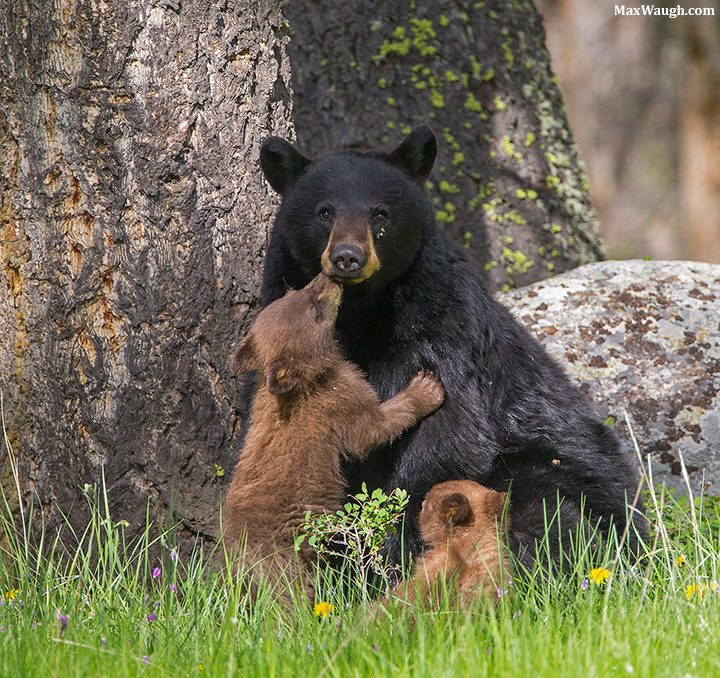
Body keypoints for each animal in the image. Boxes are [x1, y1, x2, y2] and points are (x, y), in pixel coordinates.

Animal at [223, 272, 445, 607]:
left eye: (294, 293)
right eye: (314, 308)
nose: (326, 277)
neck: (308, 383)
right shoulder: (334, 405)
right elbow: (370, 429)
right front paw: (425, 388)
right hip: (286, 558)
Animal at [257, 124, 647, 575]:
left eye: (380, 213)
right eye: (324, 212)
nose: (348, 257)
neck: (361, 314)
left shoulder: (442, 336)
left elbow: (444, 442)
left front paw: (396, 554)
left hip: (556, 481)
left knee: (547, 516)